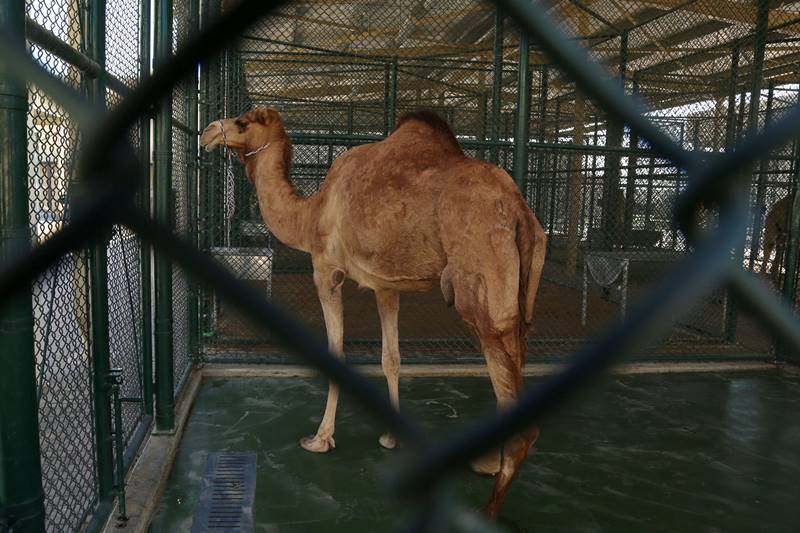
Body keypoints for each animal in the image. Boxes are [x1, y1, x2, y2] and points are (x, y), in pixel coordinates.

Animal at [200, 108, 547, 517]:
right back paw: (486, 462)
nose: (207, 132)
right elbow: (391, 358)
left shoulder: (326, 271)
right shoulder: (385, 285)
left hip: (481, 286)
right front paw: (391, 437)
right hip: (521, 297)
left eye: (241, 122)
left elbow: (336, 352)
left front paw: (320, 438)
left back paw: (487, 506)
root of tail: (519, 210)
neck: (312, 214)